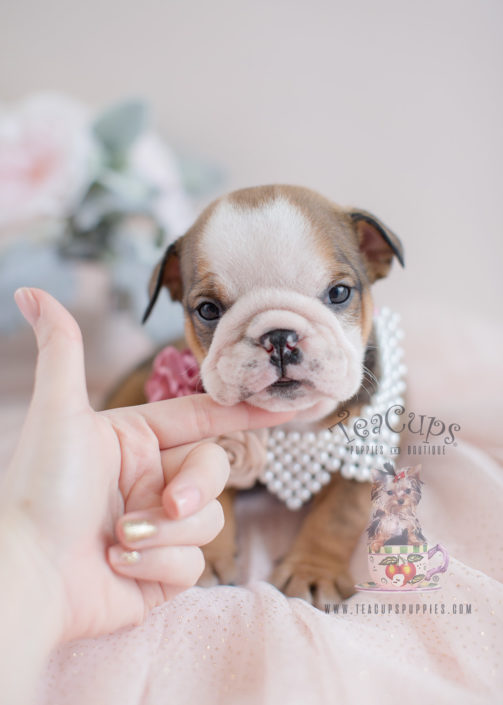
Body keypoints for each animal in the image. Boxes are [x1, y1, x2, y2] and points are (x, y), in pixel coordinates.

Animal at [116, 186, 404, 604]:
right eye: (208, 310)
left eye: (338, 293)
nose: (279, 336)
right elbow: (210, 494)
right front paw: (206, 556)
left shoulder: (365, 452)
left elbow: (338, 514)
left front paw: (312, 571)